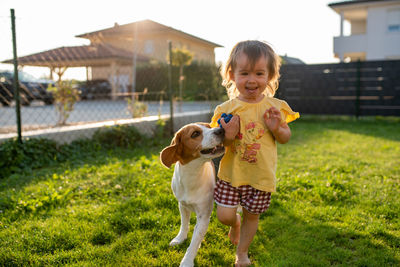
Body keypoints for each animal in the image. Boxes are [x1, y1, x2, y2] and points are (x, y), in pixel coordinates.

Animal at [161, 123, 227, 267]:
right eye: (195, 134)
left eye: (209, 126)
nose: (221, 130)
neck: (193, 174)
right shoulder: (182, 205)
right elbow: (184, 225)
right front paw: (180, 238)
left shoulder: (203, 217)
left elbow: (194, 242)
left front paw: (187, 261)